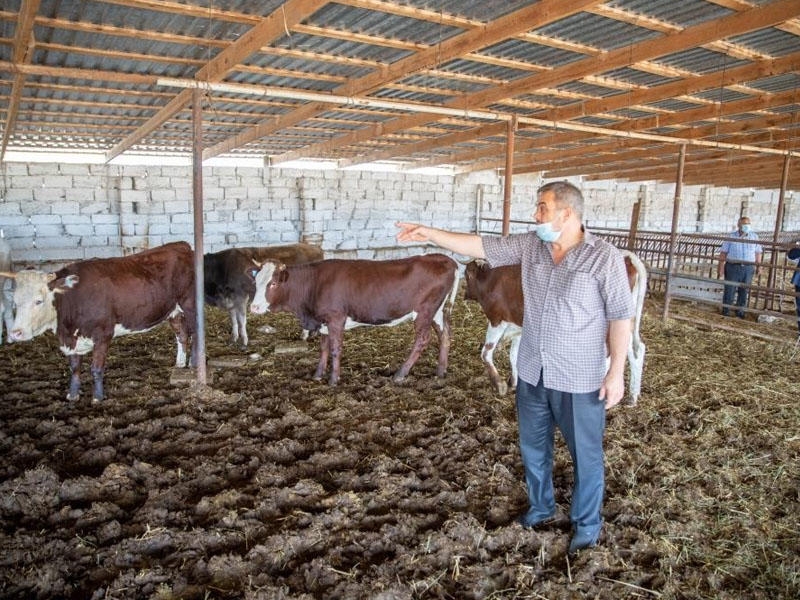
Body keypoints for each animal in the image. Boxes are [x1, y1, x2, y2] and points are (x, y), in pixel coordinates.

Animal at [3, 241, 197, 400]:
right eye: (15, 302)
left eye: (39, 300)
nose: (16, 333)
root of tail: (182, 246)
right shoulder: (73, 339)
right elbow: (75, 367)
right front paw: (73, 395)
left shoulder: (103, 334)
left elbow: (96, 368)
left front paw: (97, 397)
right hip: (173, 311)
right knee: (181, 335)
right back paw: (180, 363)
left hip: (189, 305)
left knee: (195, 333)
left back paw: (193, 363)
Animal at [250, 252, 462, 384]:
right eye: (255, 282)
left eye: (273, 283)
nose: (254, 307)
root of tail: (445, 259)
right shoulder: (323, 320)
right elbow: (323, 348)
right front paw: (318, 375)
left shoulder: (336, 317)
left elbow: (335, 349)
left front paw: (333, 380)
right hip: (437, 312)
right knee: (445, 335)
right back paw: (440, 372)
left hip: (425, 310)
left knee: (423, 339)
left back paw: (400, 374)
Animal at [466, 248, 648, 404]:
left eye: (467, 275)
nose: (465, 294)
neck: (490, 278)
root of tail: (627, 256)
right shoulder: (519, 327)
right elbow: (514, 355)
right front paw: (514, 383)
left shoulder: (497, 319)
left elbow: (486, 352)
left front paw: (500, 385)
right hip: (626, 324)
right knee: (636, 351)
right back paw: (633, 396)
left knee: (608, 358)